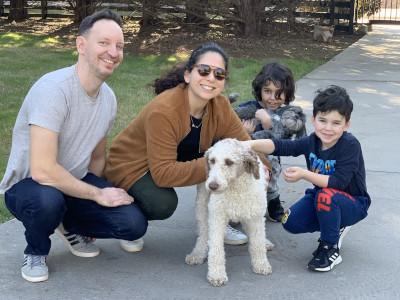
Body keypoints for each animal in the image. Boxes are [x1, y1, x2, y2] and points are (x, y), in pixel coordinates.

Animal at [185, 138, 274, 286]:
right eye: (212, 160)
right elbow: (215, 248)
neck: (235, 189)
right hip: (203, 205)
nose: (212, 186)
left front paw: (261, 264)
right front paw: (217, 274)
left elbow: (258, 243)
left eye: (229, 162)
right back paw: (198, 253)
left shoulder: (255, 216)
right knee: (203, 233)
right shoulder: (217, 217)